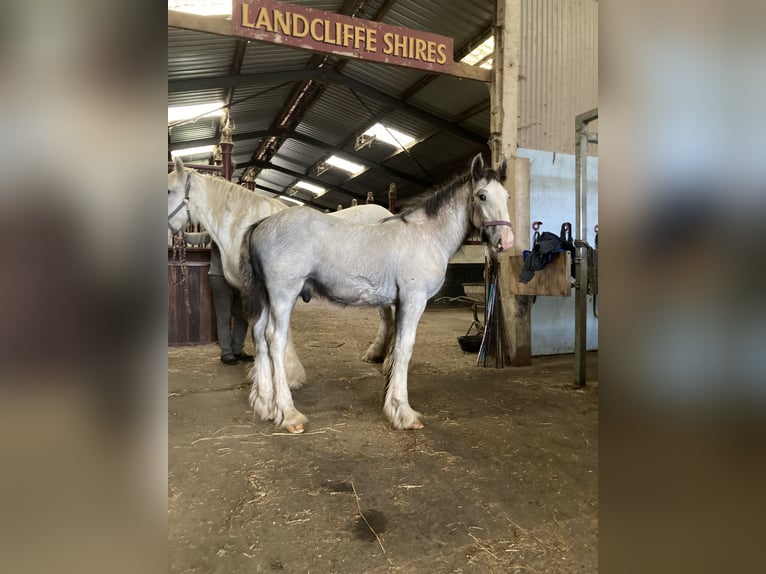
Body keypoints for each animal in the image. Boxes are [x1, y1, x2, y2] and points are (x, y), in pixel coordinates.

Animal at [243, 155, 512, 434]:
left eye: (507, 196)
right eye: (482, 196)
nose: (506, 240)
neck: (425, 235)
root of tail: (260, 225)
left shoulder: (399, 303)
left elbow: (396, 346)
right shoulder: (413, 300)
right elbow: (404, 348)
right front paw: (404, 412)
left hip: (266, 299)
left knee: (259, 335)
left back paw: (265, 404)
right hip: (283, 295)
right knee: (275, 340)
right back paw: (288, 413)